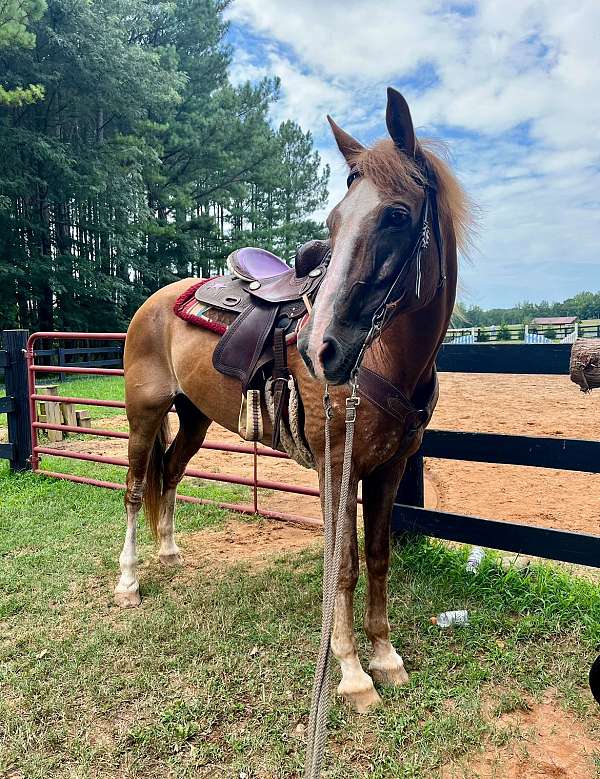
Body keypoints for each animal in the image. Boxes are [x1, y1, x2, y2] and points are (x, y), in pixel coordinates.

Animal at [113, 88, 468, 716]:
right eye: (334, 222)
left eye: (398, 215)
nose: (317, 347)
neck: (385, 358)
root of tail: (152, 302)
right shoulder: (336, 467)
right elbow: (343, 566)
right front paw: (350, 673)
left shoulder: (389, 470)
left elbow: (378, 557)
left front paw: (385, 656)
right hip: (144, 414)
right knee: (135, 489)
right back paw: (129, 581)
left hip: (194, 419)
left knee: (170, 474)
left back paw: (170, 554)